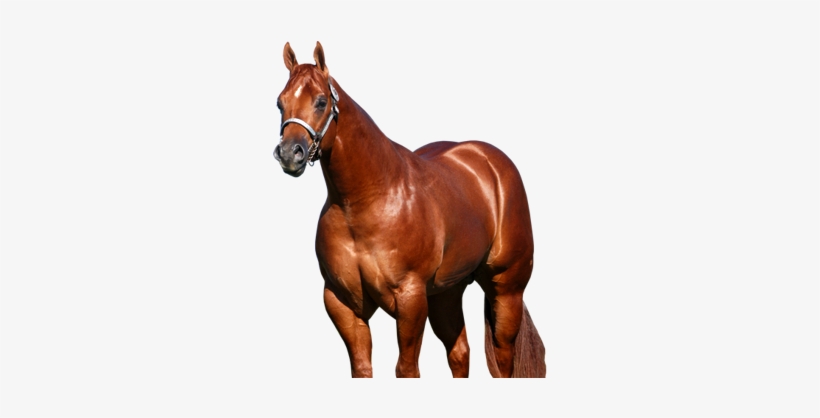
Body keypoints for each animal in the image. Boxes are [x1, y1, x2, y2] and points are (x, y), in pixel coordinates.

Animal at [273, 42, 546, 378]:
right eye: (280, 103)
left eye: (321, 101)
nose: (289, 154)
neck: (367, 202)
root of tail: (490, 161)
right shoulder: (341, 302)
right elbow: (362, 367)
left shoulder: (411, 299)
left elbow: (406, 368)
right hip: (446, 293)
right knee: (460, 353)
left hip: (506, 289)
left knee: (502, 355)